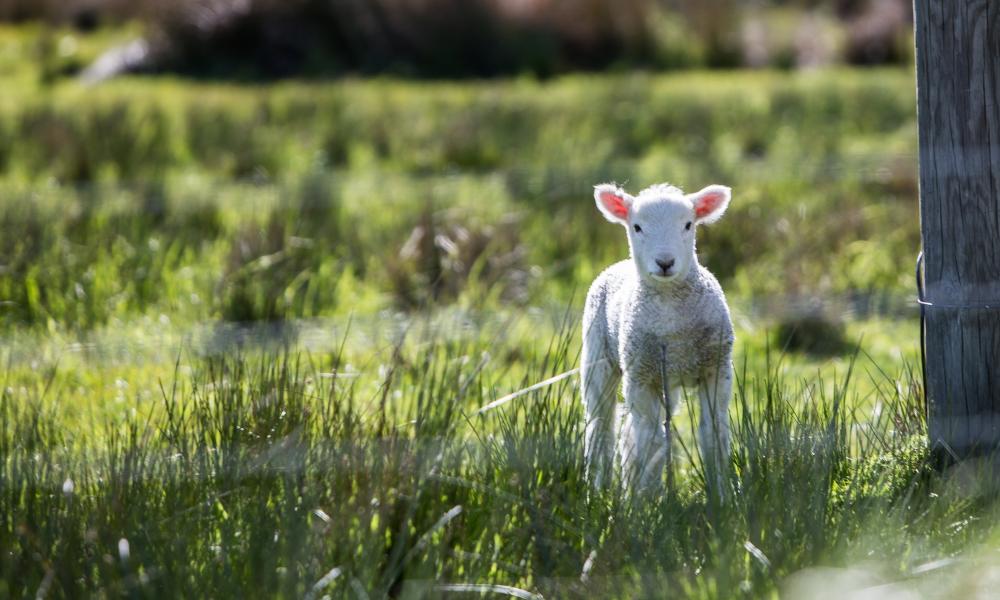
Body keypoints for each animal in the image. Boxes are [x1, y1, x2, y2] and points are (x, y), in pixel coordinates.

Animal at [580, 182, 736, 492]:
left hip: (666, 380)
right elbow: (650, 443)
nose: (665, 262)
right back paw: (598, 489)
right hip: (598, 357)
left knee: (632, 430)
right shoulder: (641, 377)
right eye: (637, 227)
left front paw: (721, 494)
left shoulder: (716, 369)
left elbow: (713, 435)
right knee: (601, 426)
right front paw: (646, 499)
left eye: (688, 224)